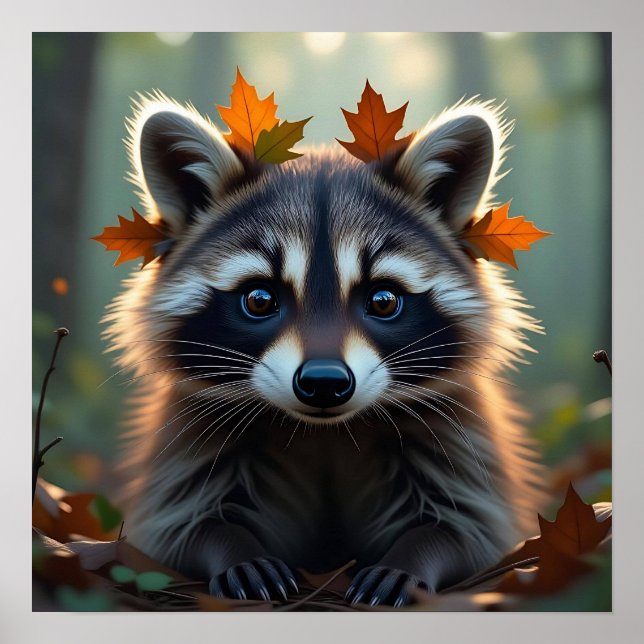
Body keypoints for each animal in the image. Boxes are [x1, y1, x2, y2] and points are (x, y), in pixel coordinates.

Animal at [105, 92, 545, 607]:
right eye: (259, 299)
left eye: (383, 300)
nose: (323, 383)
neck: (326, 432)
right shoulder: (193, 437)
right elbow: (181, 525)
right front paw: (234, 551)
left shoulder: (456, 434)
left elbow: (470, 528)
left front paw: (411, 558)